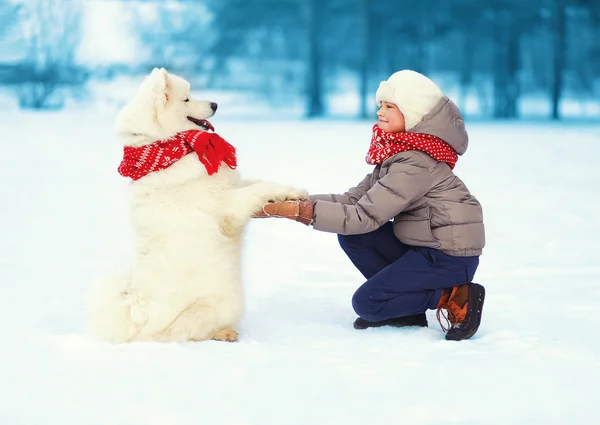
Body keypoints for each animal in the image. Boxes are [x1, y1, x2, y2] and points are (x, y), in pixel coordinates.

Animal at [86, 68, 308, 342]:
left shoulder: (232, 186)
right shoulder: (226, 207)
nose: (215, 104)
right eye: (186, 99)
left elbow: (257, 183)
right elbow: (257, 189)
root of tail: (137, 318)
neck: (171, 149)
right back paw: (223, 333)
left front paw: (288, 193)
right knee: (186, 334)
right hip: (222, 303)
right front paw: (291, 193)